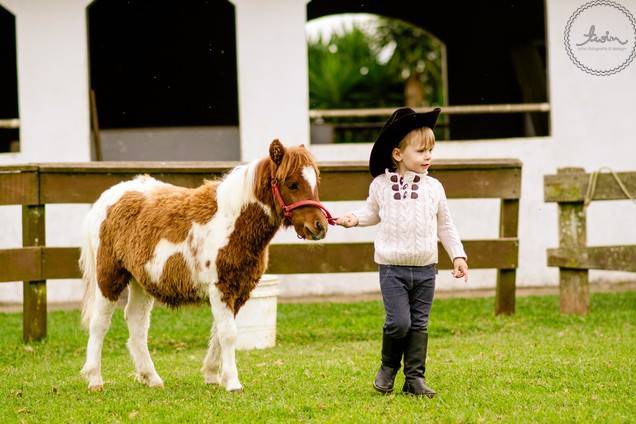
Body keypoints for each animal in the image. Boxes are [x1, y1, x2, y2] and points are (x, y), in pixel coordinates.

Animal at [77, 141, 330, 392]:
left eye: (316, 182)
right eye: (292, 183)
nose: (319, 226)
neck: (230, 222)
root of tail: (107, 198)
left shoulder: (239, 291)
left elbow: (220, 333)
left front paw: (212, 375)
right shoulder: (220, 287)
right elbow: (228, 334)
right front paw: (233, 383)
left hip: (141, 282)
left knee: (136, 322)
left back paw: (151, 378)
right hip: (109, 276)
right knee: (99, 323)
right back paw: (95, 379)